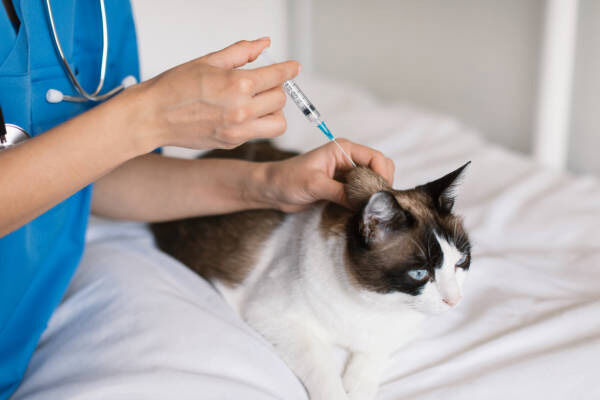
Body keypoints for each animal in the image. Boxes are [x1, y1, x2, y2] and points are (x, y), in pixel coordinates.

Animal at [151, 141, 472, 400]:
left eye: (460, 262)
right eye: (419, 274)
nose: (454, 301)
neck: (374, 305)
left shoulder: (396, 332)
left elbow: (370, 359)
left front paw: (357, 389)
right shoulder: (274, 318)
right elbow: (324, 369)